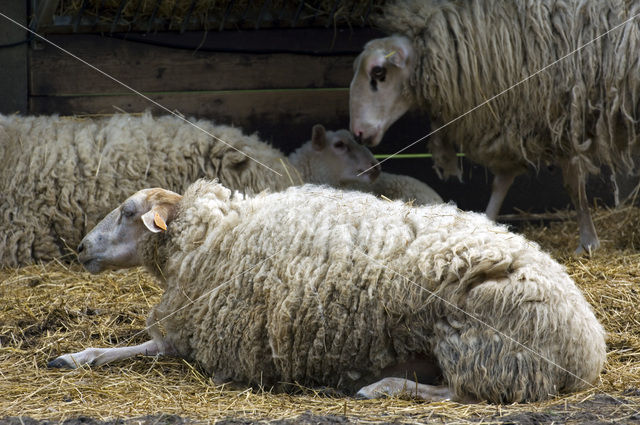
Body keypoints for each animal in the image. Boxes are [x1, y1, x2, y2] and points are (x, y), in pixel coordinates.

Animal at [48, 177, 604, 402]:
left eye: (127, 212)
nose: (81, 248)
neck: (212, 236)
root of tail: (587, 347)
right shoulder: (186, 329)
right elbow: (127, 349)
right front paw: (72, 358)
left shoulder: (208, 334)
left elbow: (145, 348)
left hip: (483, 346)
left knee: (464, 395)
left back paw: (382, 387)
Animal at [348, 0, 640, 252]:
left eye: (378, 73)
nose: (358, 133)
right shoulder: (516, 120)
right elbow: (502, 182)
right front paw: (484, 223)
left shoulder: (561, 114)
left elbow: (572, 183)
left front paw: (587, 243)